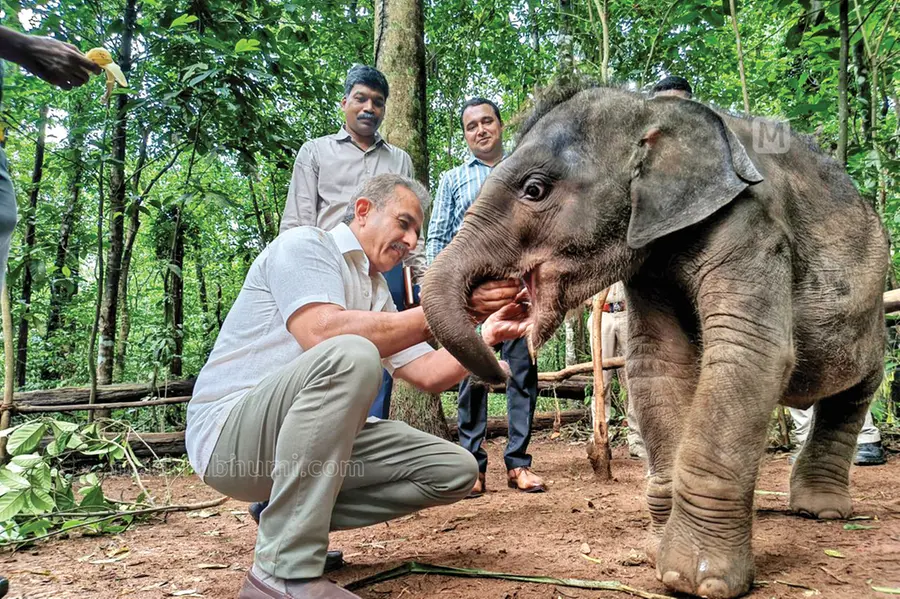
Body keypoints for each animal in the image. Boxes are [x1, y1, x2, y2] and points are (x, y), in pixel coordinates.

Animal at [421, 83, 889, 599]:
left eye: (535, 190)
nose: (500, 365)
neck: (653, 108)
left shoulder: (753, 224)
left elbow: (748, 352)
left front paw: (696, 580)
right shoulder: (647, 256)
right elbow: (656, 362)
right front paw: (654, 554)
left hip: (869, 307)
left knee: (855, 387)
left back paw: (821, 510)